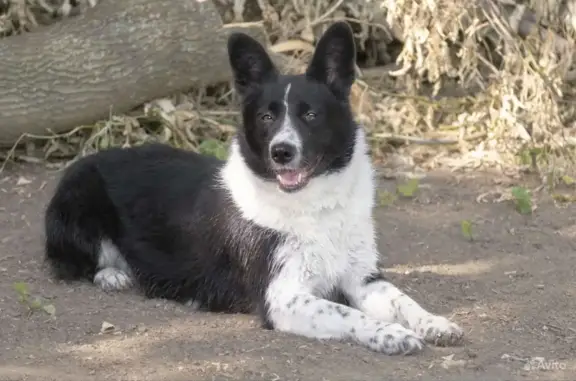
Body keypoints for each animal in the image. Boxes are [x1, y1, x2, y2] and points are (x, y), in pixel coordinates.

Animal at [44, 21, 464, 354]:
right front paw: (390, 334)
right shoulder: (282, 298)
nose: (281, 152)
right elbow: (345, 312)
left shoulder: (363, 278)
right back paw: (111, 274)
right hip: (79, 202)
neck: (313, 204)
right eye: (265, 117)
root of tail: (89, 156)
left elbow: (404, 300)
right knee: (71, 261)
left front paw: (434, 323)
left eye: (311, 115)